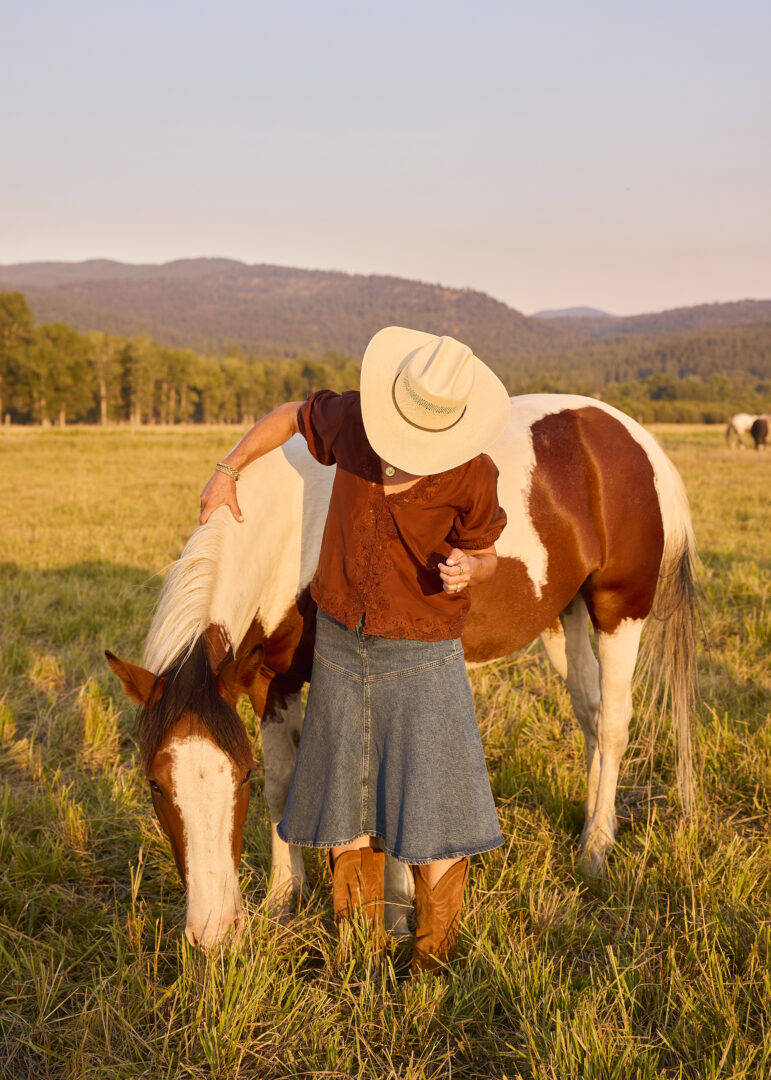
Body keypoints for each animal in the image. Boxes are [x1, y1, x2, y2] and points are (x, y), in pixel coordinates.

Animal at [107, 393, 697, 950]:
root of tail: (632, 435)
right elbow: (283, 785)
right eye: (154, 783)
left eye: (238, 778)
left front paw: (394, 910)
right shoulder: (266, 682)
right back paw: (596, 822)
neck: (287, 532)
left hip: (619, 610)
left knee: (614, 724)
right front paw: (283, 897)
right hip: (564, 616)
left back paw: (596, 850)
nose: (213, 933)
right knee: (591, 715)